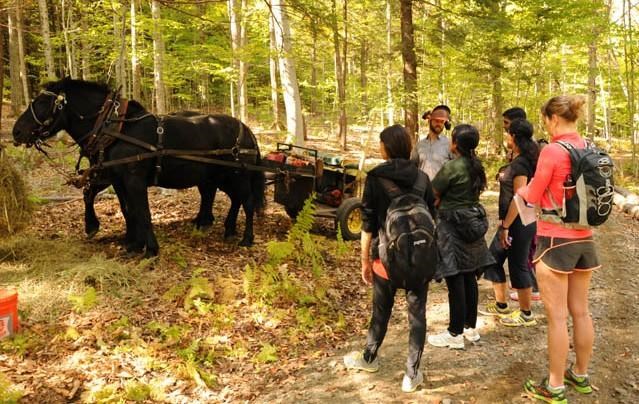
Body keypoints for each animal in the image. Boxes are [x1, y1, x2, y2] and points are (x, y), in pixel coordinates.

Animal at [13, 77, 266, 258]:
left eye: (42, 102)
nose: (16, 132)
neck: (116, 129)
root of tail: (246, 129)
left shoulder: (133, 180)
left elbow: (142, 211)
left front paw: (150, 249)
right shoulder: (117, 180)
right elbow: (128, 210)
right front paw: (133, 245)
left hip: (238, 175)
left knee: (248, 201)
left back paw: (246, 238)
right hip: (220, 176)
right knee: (233, 199)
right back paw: (227, 229)